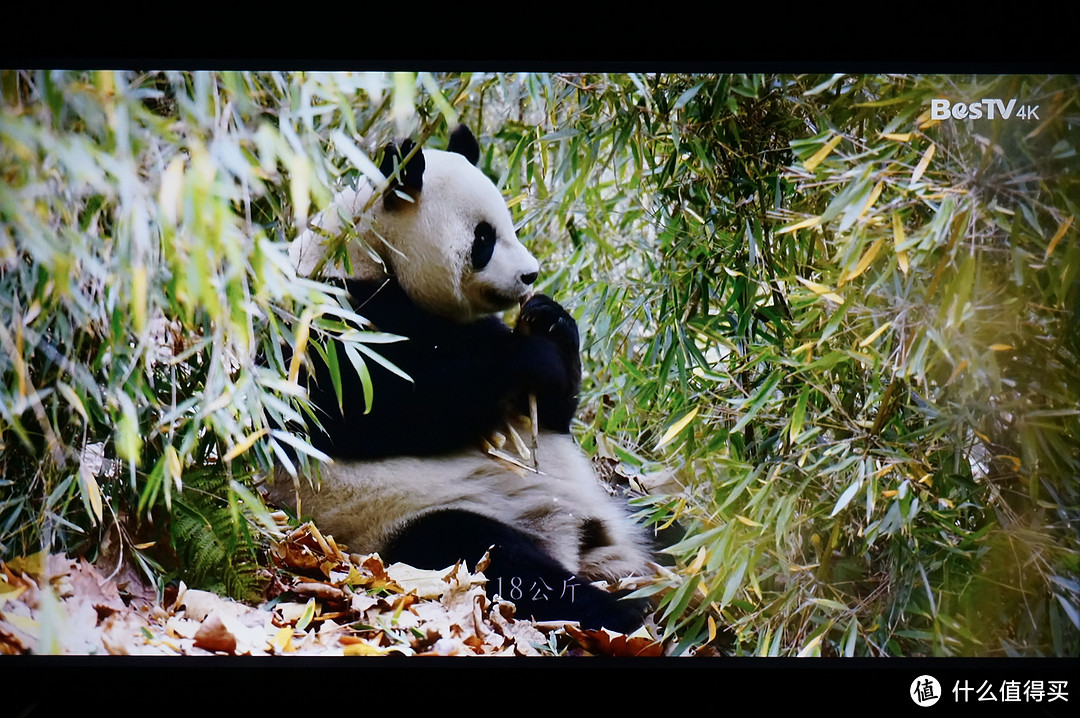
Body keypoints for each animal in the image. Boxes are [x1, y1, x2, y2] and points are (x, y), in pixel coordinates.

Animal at [274, 125, 652, 630]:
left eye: (510, 224)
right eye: (484, 238)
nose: (531, 274)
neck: (367, 253)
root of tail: (575, 541)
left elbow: (547, 414)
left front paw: (550, 321)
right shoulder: (325, 319)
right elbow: (364, 411)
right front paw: (530, 357)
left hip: (623, 502)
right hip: (398, 520)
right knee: (492, 556)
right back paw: (626, 614)